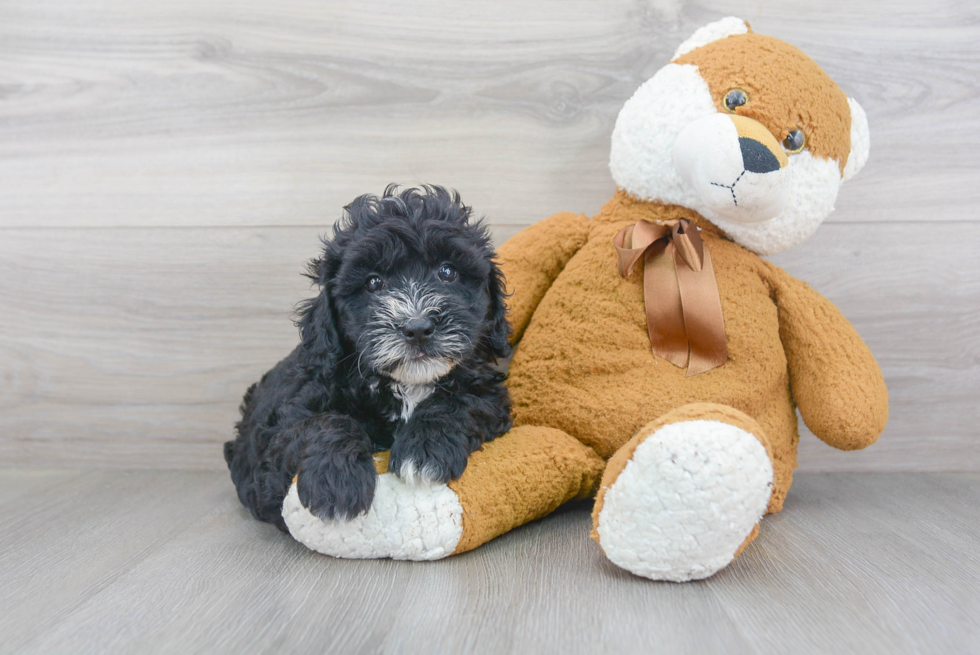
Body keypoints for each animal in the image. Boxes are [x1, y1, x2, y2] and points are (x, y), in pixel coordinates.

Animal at [223, 186, 512, 532]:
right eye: (374, 282)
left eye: (447, 272)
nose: (417, 328)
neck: (403, 385)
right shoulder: (274, 442)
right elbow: (323, 422)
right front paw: (337, 480)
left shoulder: (488, 392)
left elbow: (462, 401)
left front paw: (425, 448)